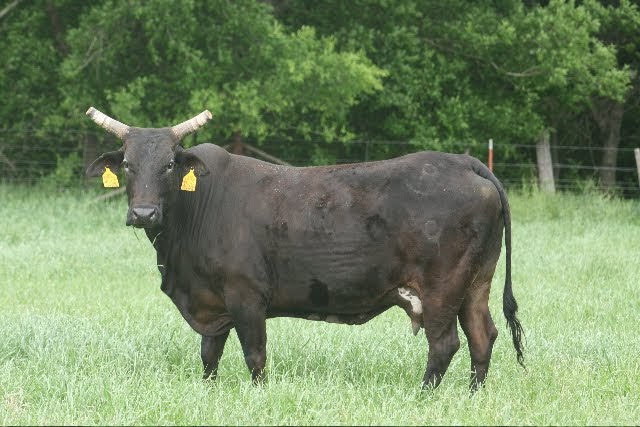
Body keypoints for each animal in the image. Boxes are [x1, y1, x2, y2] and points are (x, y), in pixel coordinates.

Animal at [86, 108, 524, 392]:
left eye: (169, 165)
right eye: (127, 165)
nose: (144, 213)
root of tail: (465, 162)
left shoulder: (246, 296)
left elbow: (255, 355)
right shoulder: (213, 301)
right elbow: (209, 354)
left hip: (441, 288)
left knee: (445, 343)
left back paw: (423, 395)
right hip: (475, 283)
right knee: (482, 335)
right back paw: (473, 395)